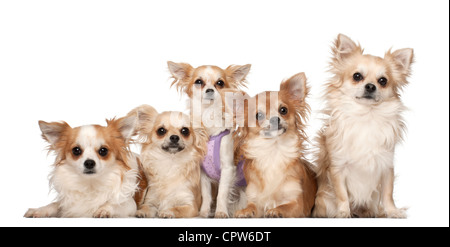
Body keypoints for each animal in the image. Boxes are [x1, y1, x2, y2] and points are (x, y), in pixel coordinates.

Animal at [168, 61, 251, 218]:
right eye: (199, 82)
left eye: (220, 83)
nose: (210, 90)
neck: (209, 114)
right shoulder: (203, 172)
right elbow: (206, 194)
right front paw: (204, 212)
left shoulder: (228, 168)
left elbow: (222, 193)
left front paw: (221, 212)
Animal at [232, 72, 316, 217]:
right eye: (258, 115)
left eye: (283, 110)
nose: (275, 119)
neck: (273, 150)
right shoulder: (255, 198)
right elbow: (251, 206)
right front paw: (245, 211)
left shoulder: (298, 203)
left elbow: (285, 206)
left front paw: (276, 210)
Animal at [312, 33, 414, 217]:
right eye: (357, 76)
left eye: (383, 81)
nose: (371, 86)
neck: (366, 116)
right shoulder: (338, 167)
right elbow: (342, 194)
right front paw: (343, 213)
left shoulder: (386, 166)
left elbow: (388, 193)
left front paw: (392, 211)